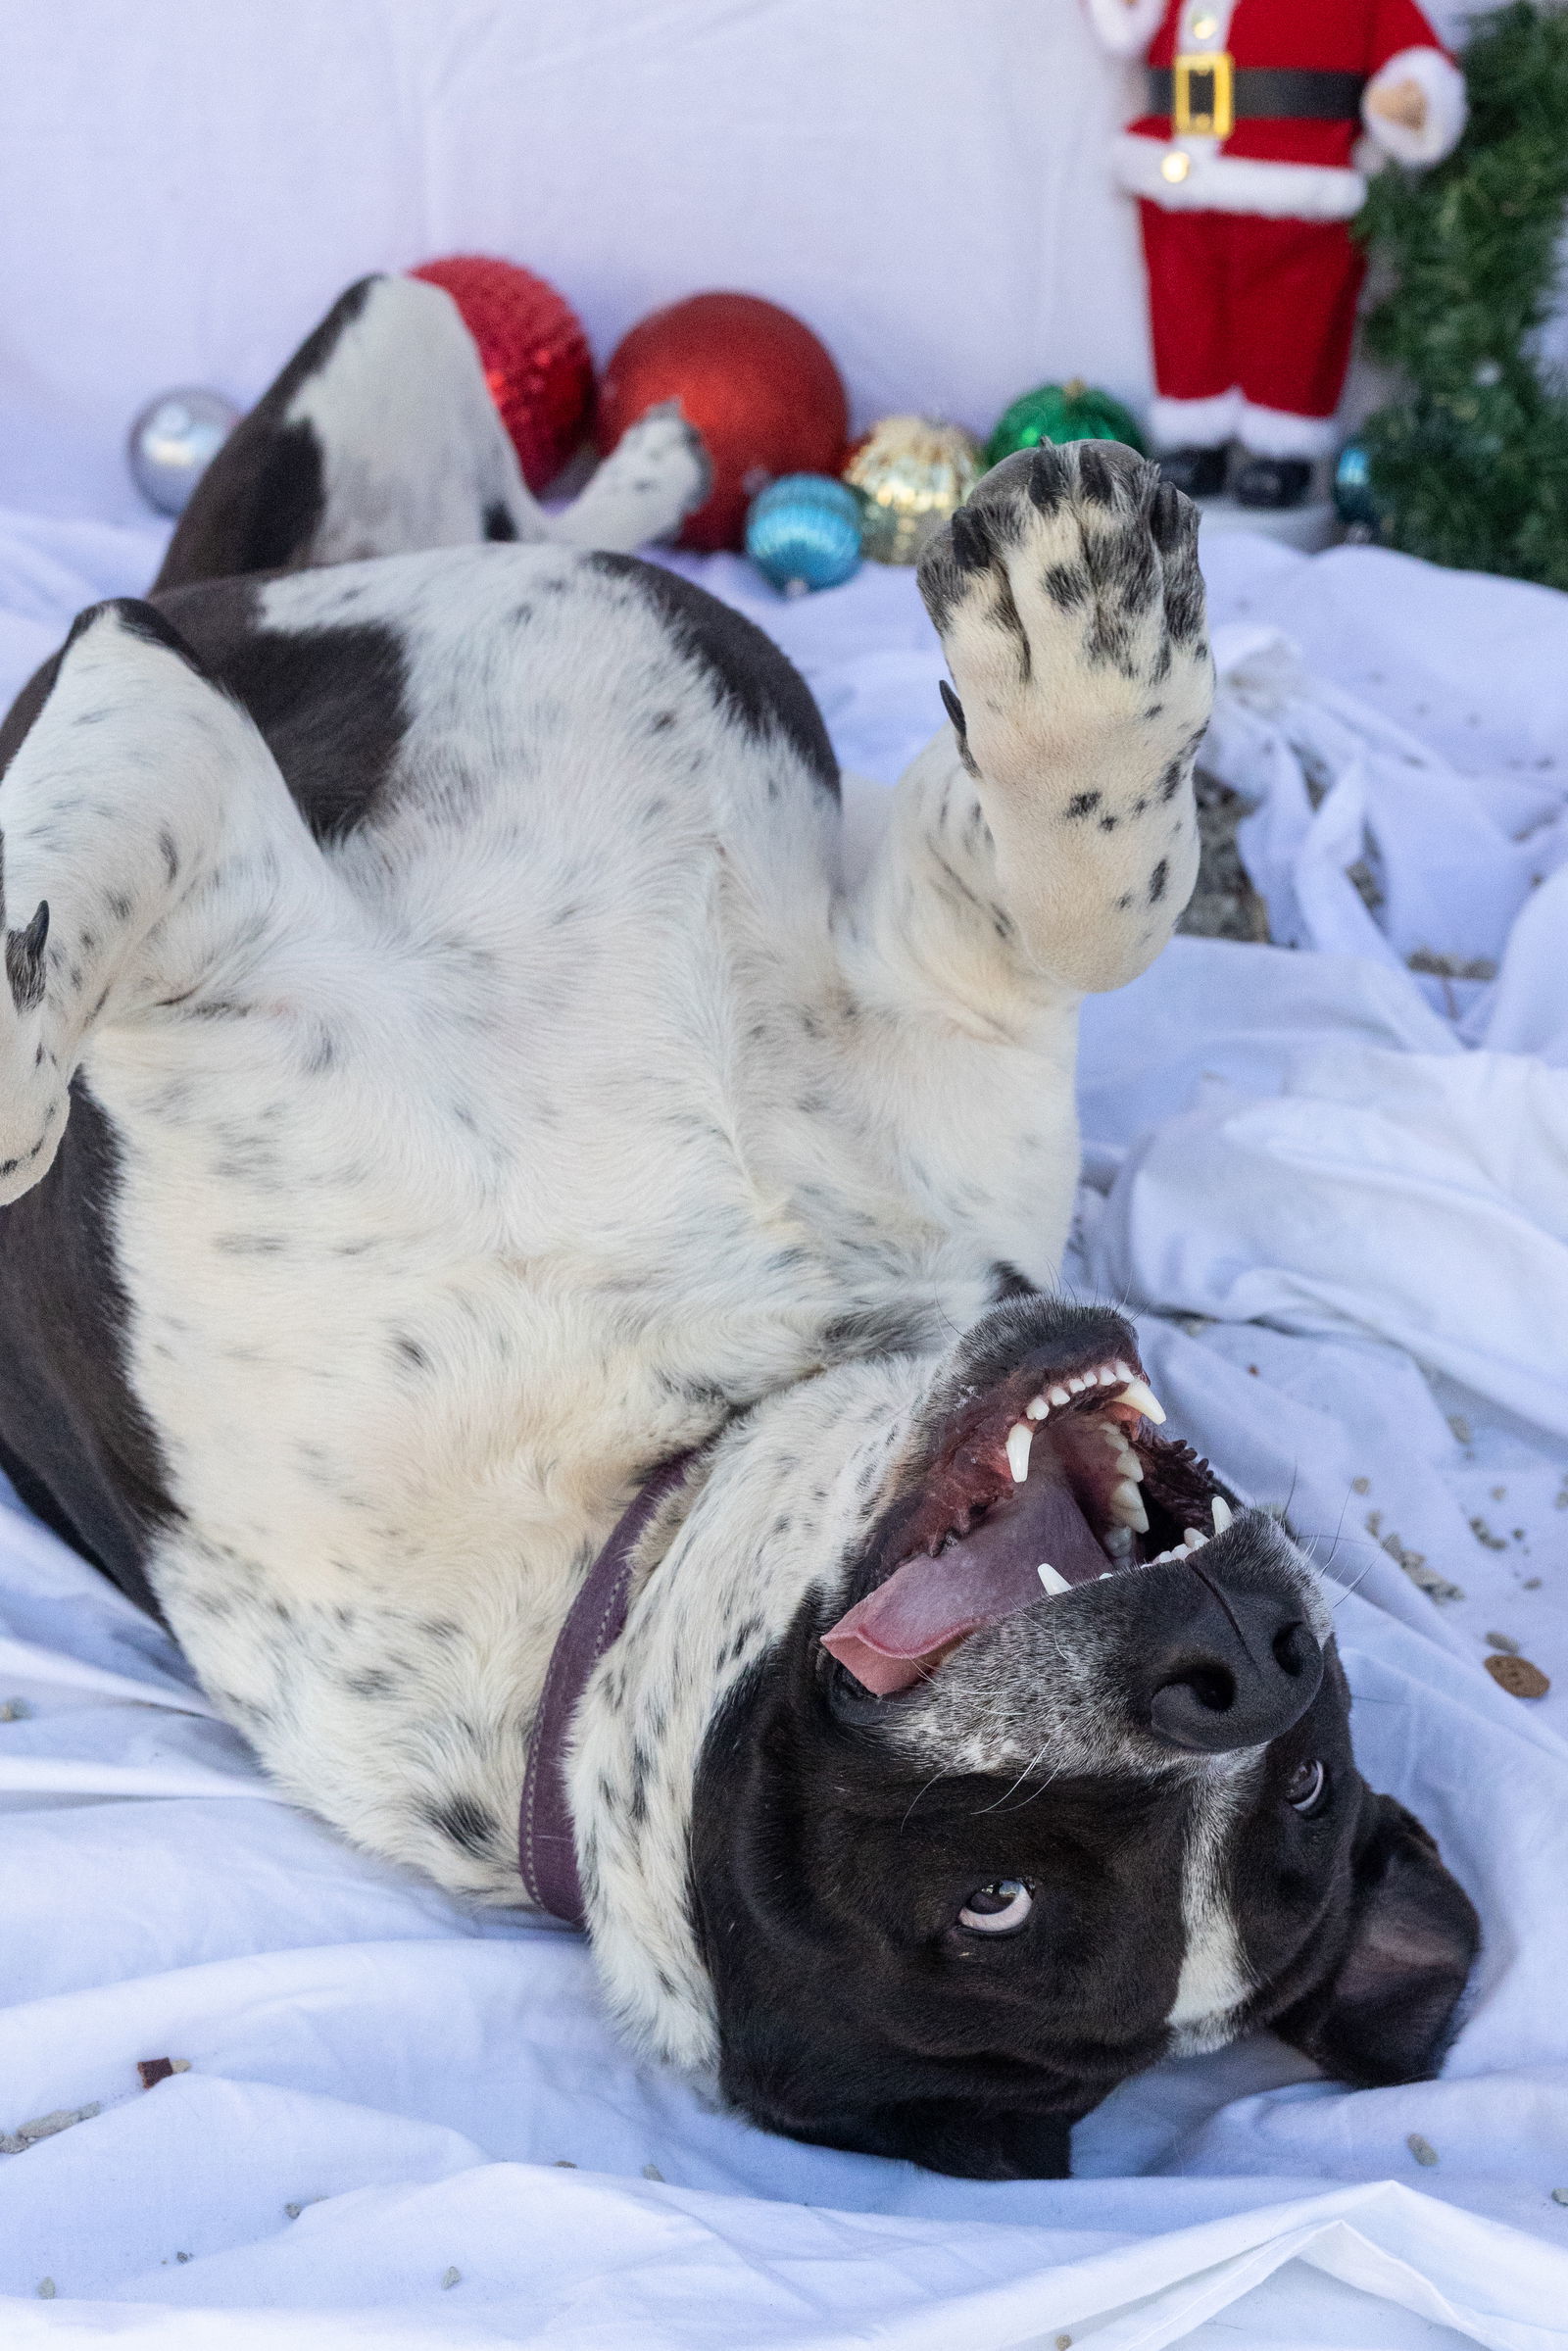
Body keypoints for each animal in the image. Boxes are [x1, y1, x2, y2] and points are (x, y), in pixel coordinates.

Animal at [0, 279, 1486, 2181]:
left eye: (990, 1905)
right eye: (1309, 1766)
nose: (1237, 1664)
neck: (670, 1416)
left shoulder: (208, 863)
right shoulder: (947, 980)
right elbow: (1097, 898)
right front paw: (1088, 666)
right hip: (391, 343)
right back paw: (653, 468)